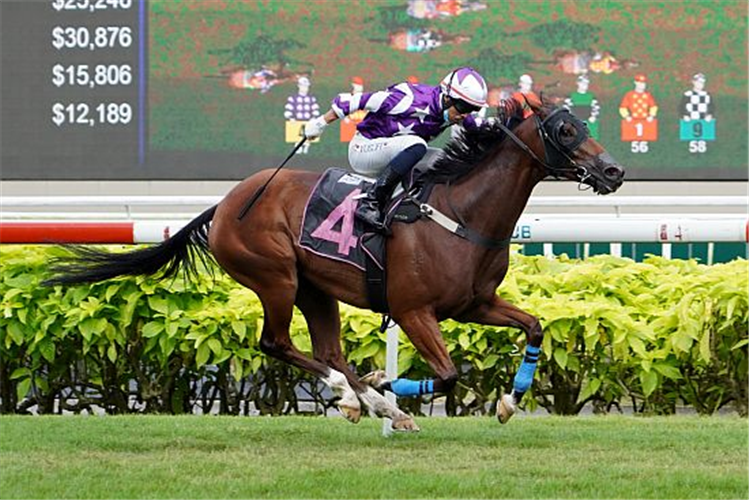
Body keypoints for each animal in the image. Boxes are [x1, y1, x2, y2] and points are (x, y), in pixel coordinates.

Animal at [46, 100, 624, 430]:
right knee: (278, 344)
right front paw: (385, 387)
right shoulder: (414, 311)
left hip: (314, 289)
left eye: (582, 123)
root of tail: (226, 203)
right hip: (275, 277)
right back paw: (358, 396)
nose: (614, 170)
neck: (462, 212)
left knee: (326, 350)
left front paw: (509, 400)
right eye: (565, 131)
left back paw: (368, 401)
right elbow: (447, 375)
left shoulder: (474, 304)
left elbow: (535, 327)